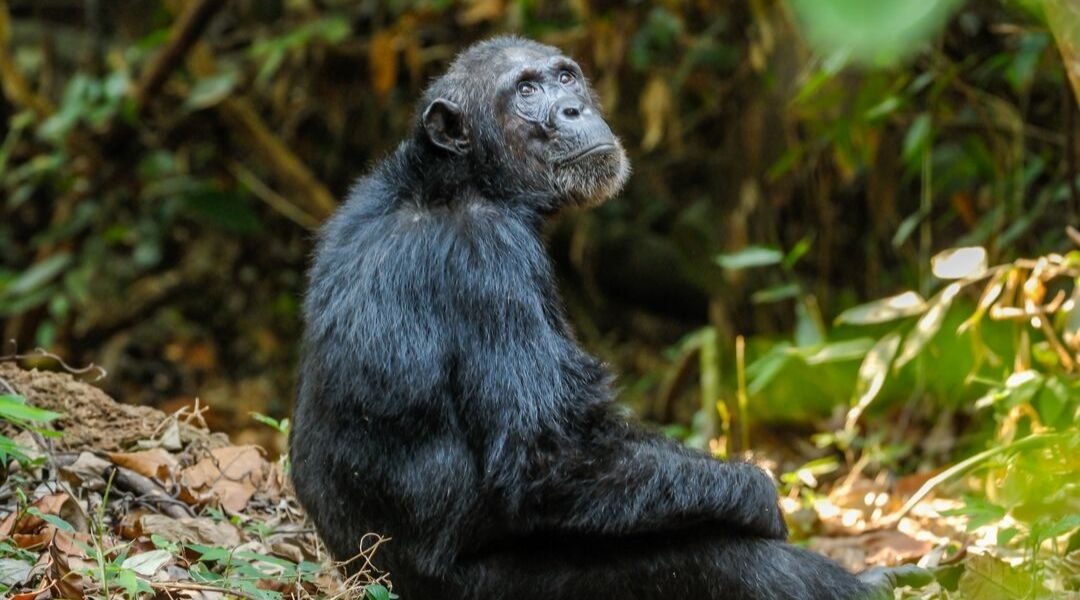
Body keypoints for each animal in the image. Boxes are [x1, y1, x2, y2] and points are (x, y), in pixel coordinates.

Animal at [289, 37, 928, 600]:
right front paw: (759, 496)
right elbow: (553, 455)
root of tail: (361, 576)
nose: (573, 108)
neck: (463, 181)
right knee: (727, 561)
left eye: (565, 77)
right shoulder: (489, 260)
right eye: (526, 90)